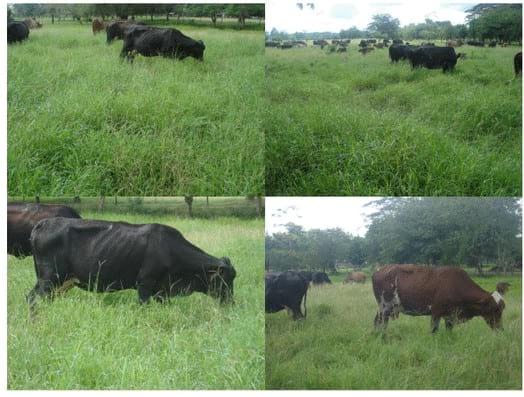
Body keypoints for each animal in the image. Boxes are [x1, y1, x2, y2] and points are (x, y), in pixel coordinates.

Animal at [26, 215, 235, 308]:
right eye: (224, 279)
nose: (231, 302)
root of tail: (44, 223)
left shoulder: (162, 291)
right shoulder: (145, 283)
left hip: (59, 282)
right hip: (49, 278)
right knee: (32, 298)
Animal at [370, 264, 506, 332]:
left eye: (502, 308)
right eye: (494, 309)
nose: (500, 329)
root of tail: (379, 270)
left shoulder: (450, 315)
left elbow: (449, 330)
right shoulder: (436, 312)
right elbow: (434, 330)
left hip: (381, 308)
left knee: (376, 321)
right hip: (385, 307)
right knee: (382, 323)